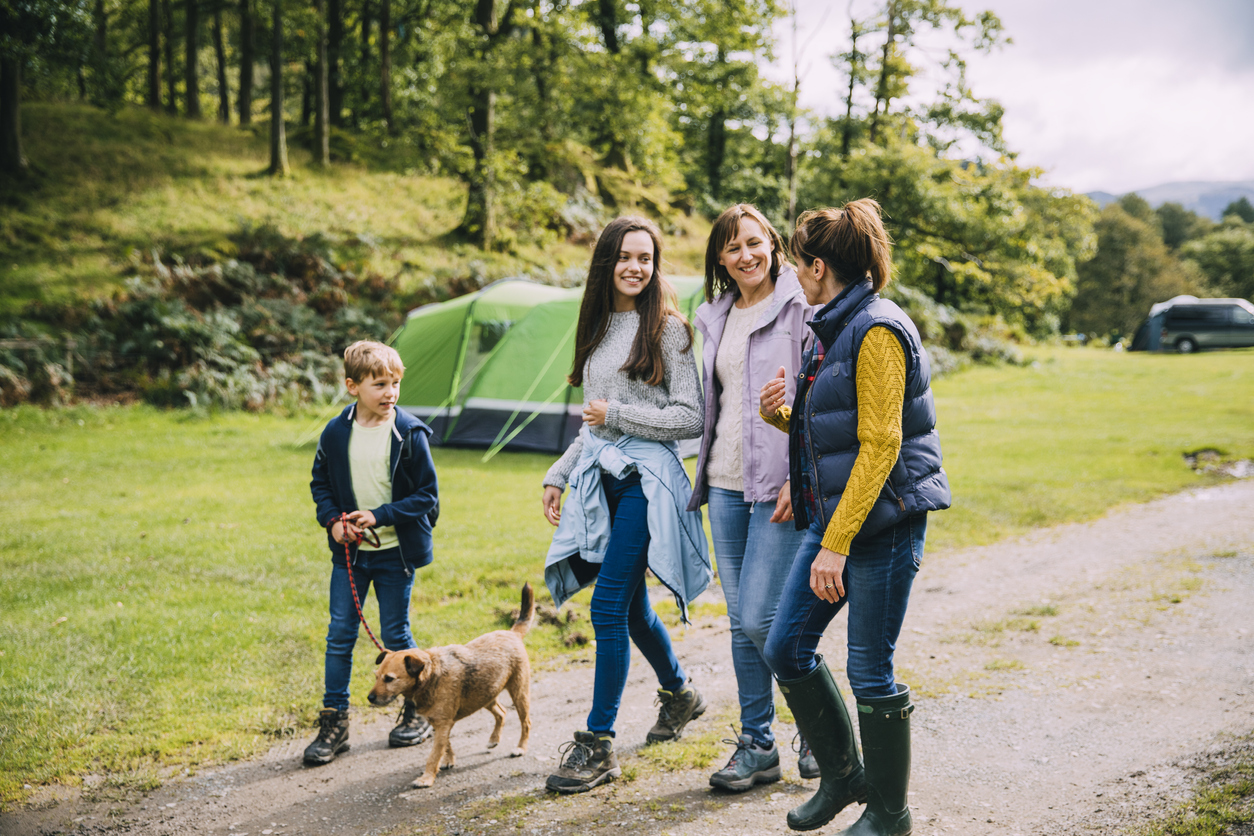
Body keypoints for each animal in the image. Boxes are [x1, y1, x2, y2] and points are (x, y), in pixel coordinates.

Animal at [366, 586, 534, 787]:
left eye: (389, 679)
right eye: (376, 677)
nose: (370, 698)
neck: (431, 676)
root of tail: (512, 633)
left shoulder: (442, 724)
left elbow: (433, 754)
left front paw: (426, 778)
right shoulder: (440, 723)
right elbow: (445, 745)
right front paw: (448, 760)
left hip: (519, 693)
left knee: (526, 722)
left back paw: (521, 748)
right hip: (485, 694)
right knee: (501, 712)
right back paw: (493, 740)